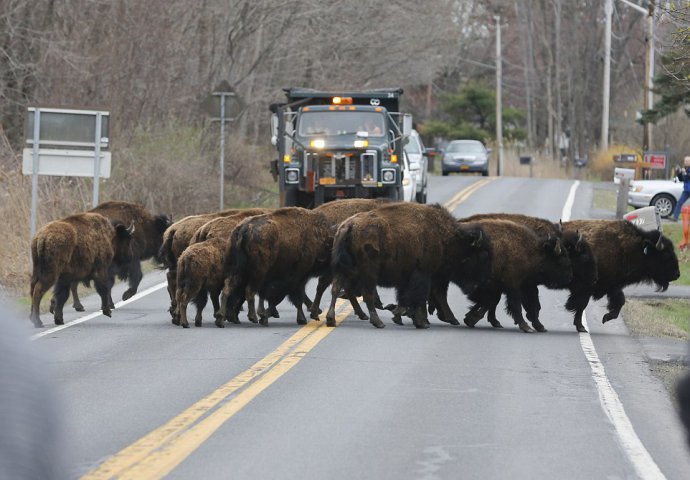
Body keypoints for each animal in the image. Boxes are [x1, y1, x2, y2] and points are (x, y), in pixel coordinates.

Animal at [326, 202, 492, 330]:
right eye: (482, 255)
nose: (481, 282)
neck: (448, 237)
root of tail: (349, 226)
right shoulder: (424, 275)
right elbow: (420, 298)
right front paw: (421, 323)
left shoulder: (411, 278)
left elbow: (409, 297)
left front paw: (403, 317)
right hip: (368, 272)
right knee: (367, 294)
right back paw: (378, 322)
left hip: (343, 269)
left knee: (336, 289)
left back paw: (331, 319)